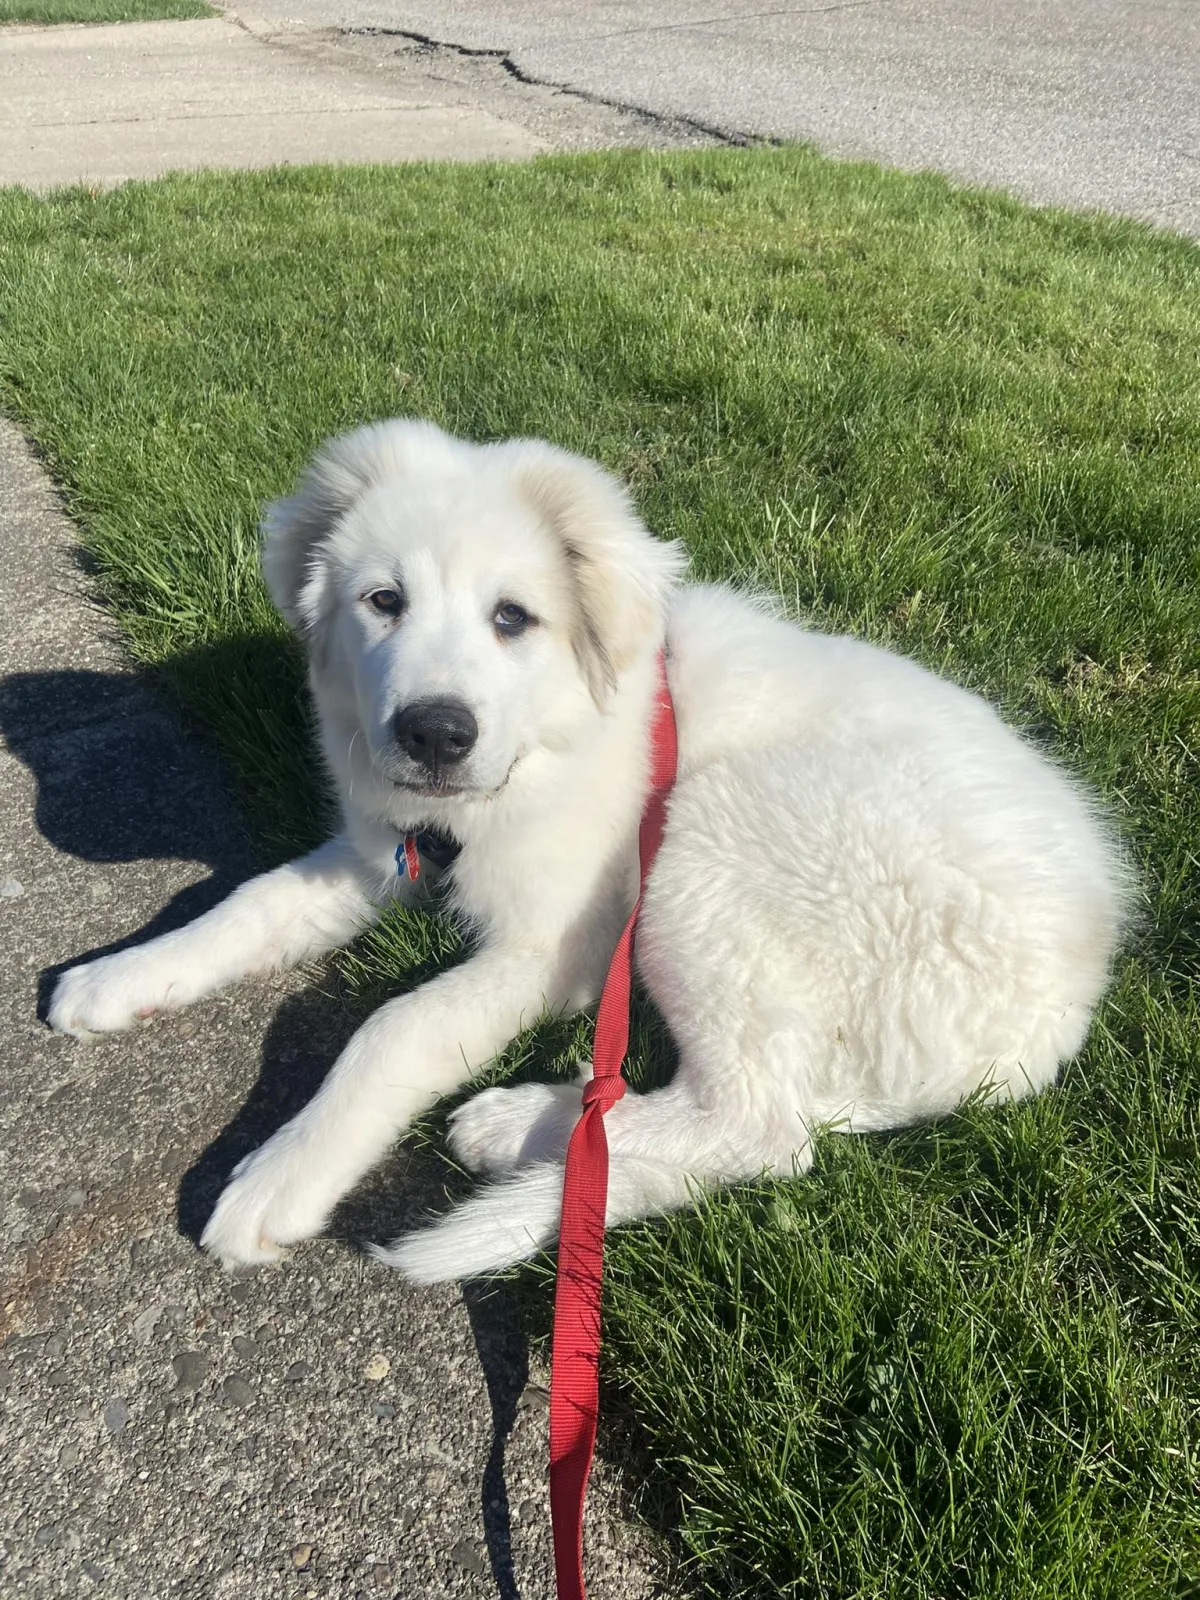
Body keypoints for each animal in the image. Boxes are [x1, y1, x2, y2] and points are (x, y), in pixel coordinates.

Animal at [49, 419, 1139, 1280]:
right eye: (382, 602)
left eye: (512, 617)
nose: (433, 734)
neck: (543, 742)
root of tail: (1062, 1009)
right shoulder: (385, 854)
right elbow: (250, 902)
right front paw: (120, 977)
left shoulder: (558, 946)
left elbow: (396, 1026)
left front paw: (281, 1173)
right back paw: (545, 1125)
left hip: (705, 841)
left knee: (761, 1128)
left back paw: (518, 1128)